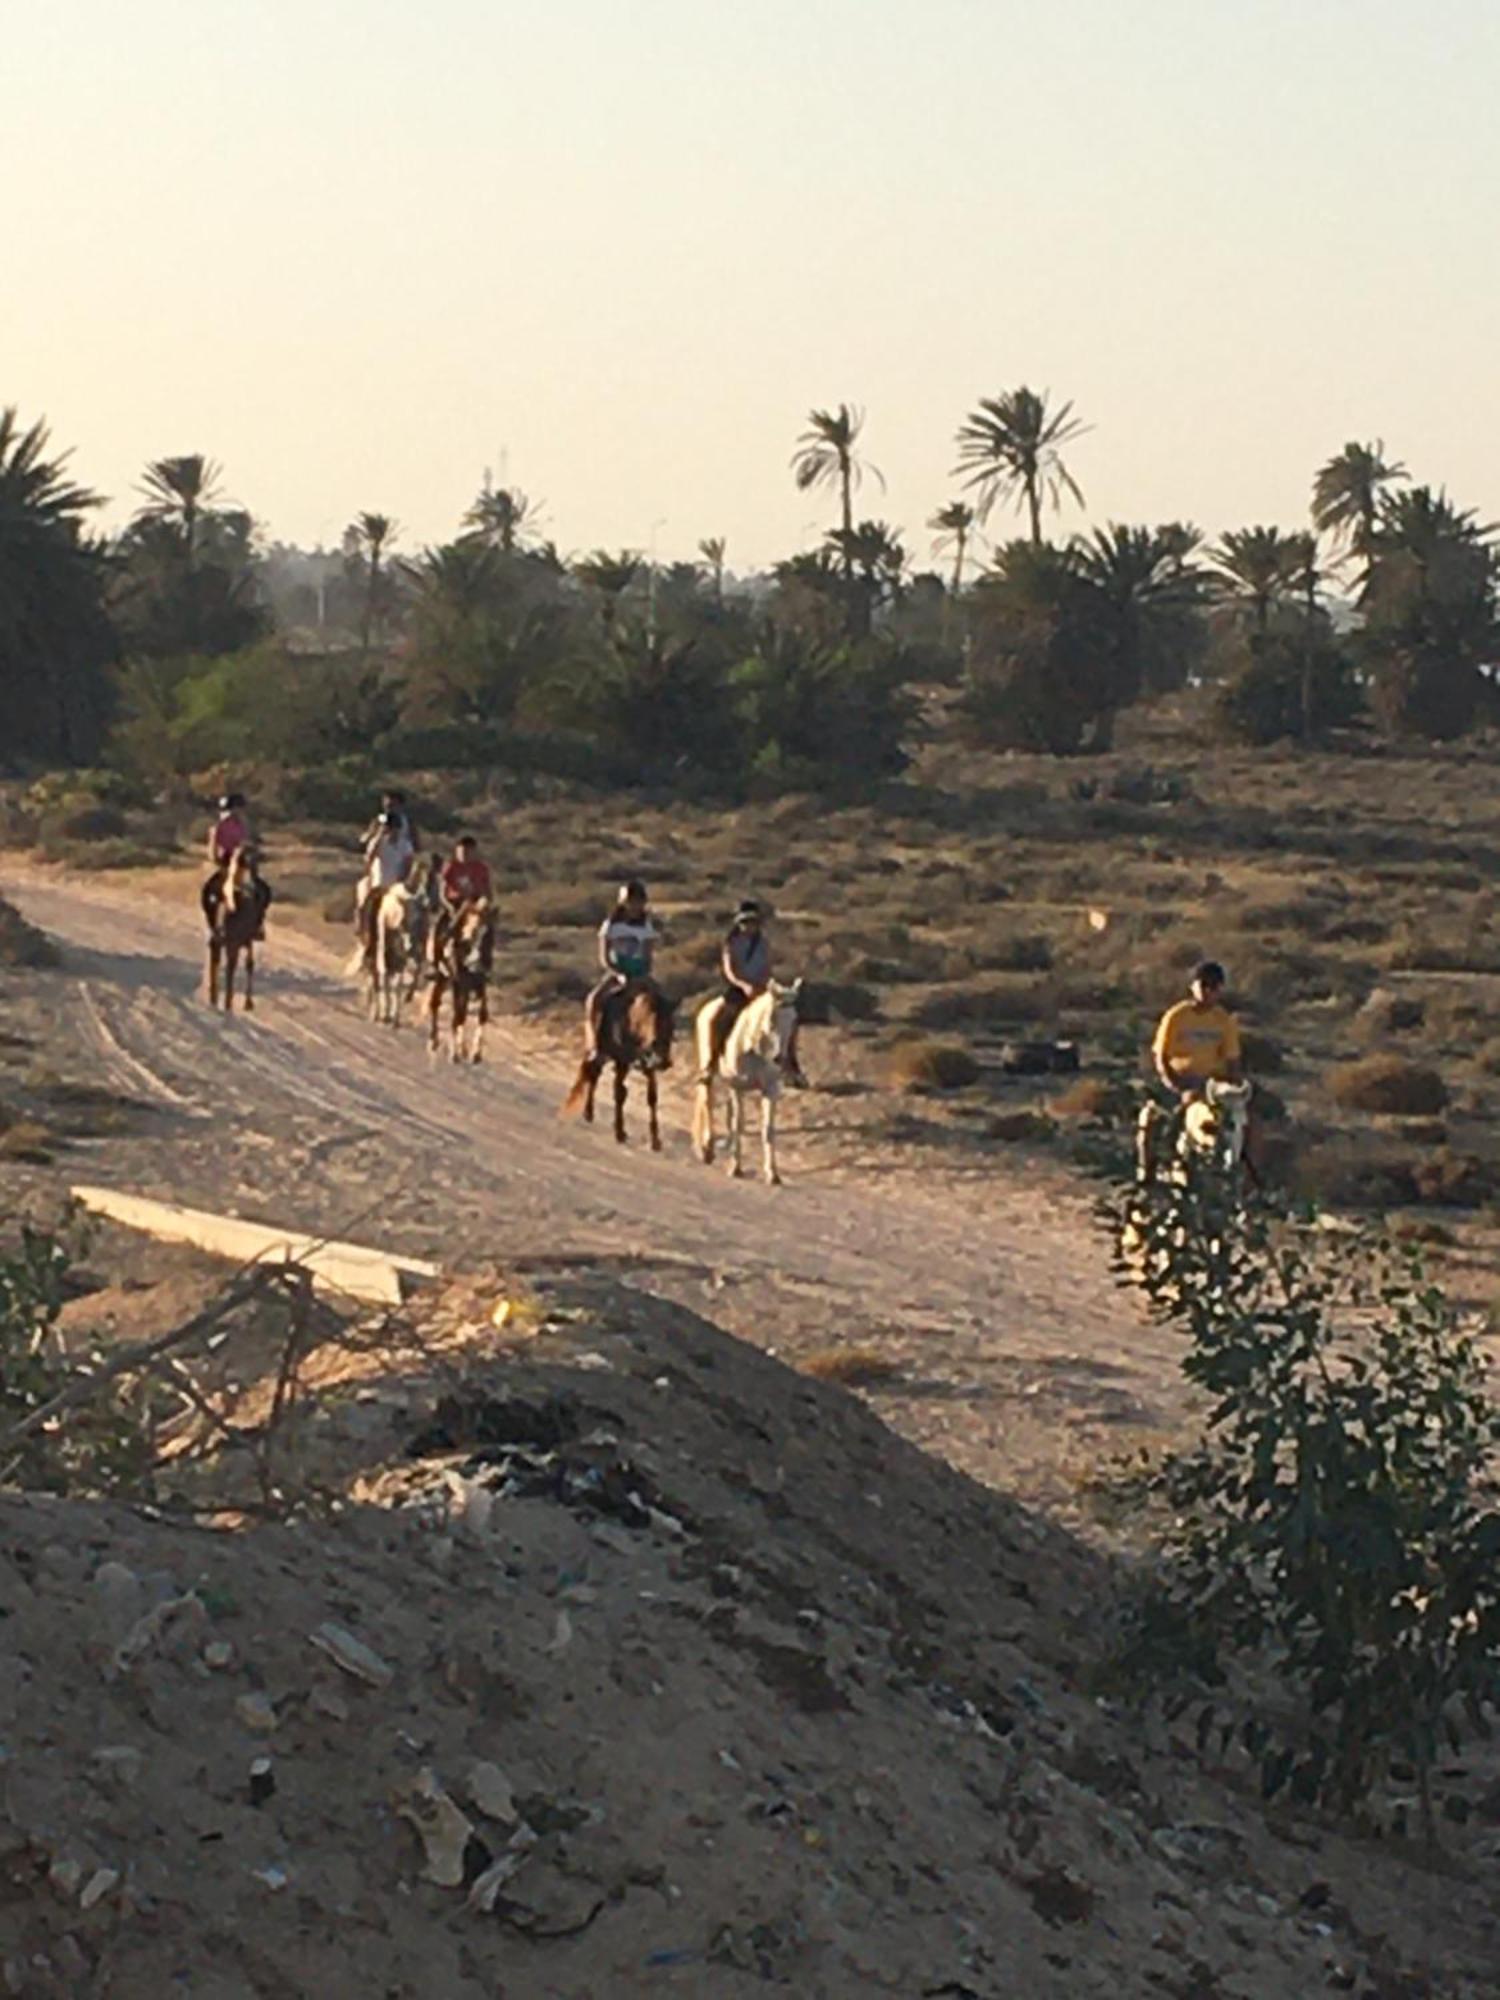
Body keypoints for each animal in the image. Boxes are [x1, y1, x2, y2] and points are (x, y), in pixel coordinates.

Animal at [428, 904, 500, 1064]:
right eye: (465, 930)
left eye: (487, 933)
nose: (475, 963)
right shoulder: (460, 982)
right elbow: (459, 1016)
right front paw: (454, 1054)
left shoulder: (480, 984)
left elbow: (482, 1014)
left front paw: (476, 1054)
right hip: (444, 978)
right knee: (436, 1003)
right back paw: (434, 1041)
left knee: (461, 1011)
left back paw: (463, 1049)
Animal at [568, 980, 680, 1152]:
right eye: (649, 1020)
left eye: (671, 1023)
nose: (662, 1061)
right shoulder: (622, 1062)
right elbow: (619, 1094)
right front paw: (619, 1133)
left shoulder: (649, 1067)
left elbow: (652, 1098)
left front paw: (655, 1141)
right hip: (598, 1051)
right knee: (593, 1075)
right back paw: (588, 1113)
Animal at [696, 976, 804, 1176]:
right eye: (772, 1017)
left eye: (794, 1020)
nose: (779, 1058)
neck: (755, 1048)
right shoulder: (737, 1087)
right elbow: (737, 1124)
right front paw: (735, 1167)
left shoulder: (770, 1090)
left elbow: (767, 1130)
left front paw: (772, 1173)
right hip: (709, 1069)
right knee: (707, 1099)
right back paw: (708, 1148)